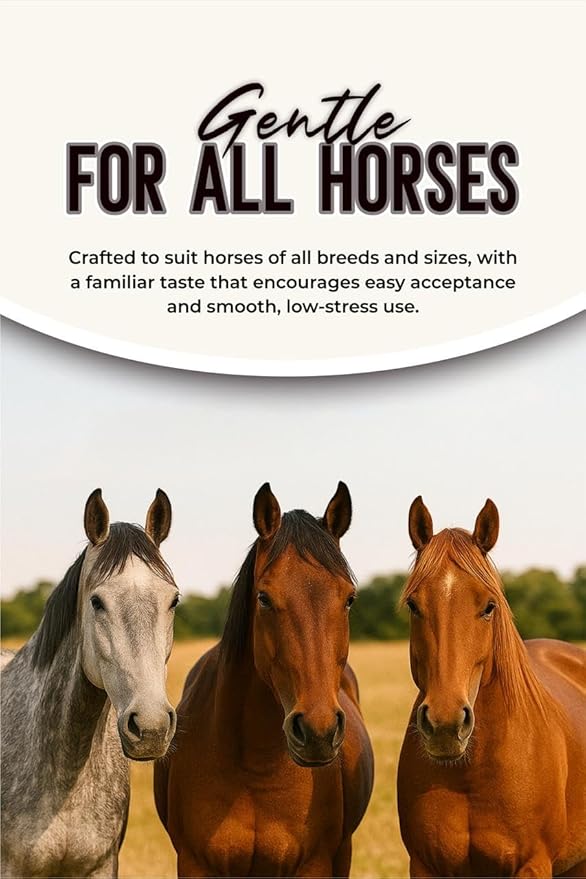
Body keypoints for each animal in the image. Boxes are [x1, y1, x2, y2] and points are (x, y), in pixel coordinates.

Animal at [154, 482, 374, 878]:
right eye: (264, 597)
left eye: (349, 598)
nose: (318, 731)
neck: (255, 768)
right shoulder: (195, 864)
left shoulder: (314, 864)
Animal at [397, 496, 586, 878]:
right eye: (413, 604)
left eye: (489, 606)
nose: (446, 725)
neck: (472, 773)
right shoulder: (425, 866)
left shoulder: (532, 865)